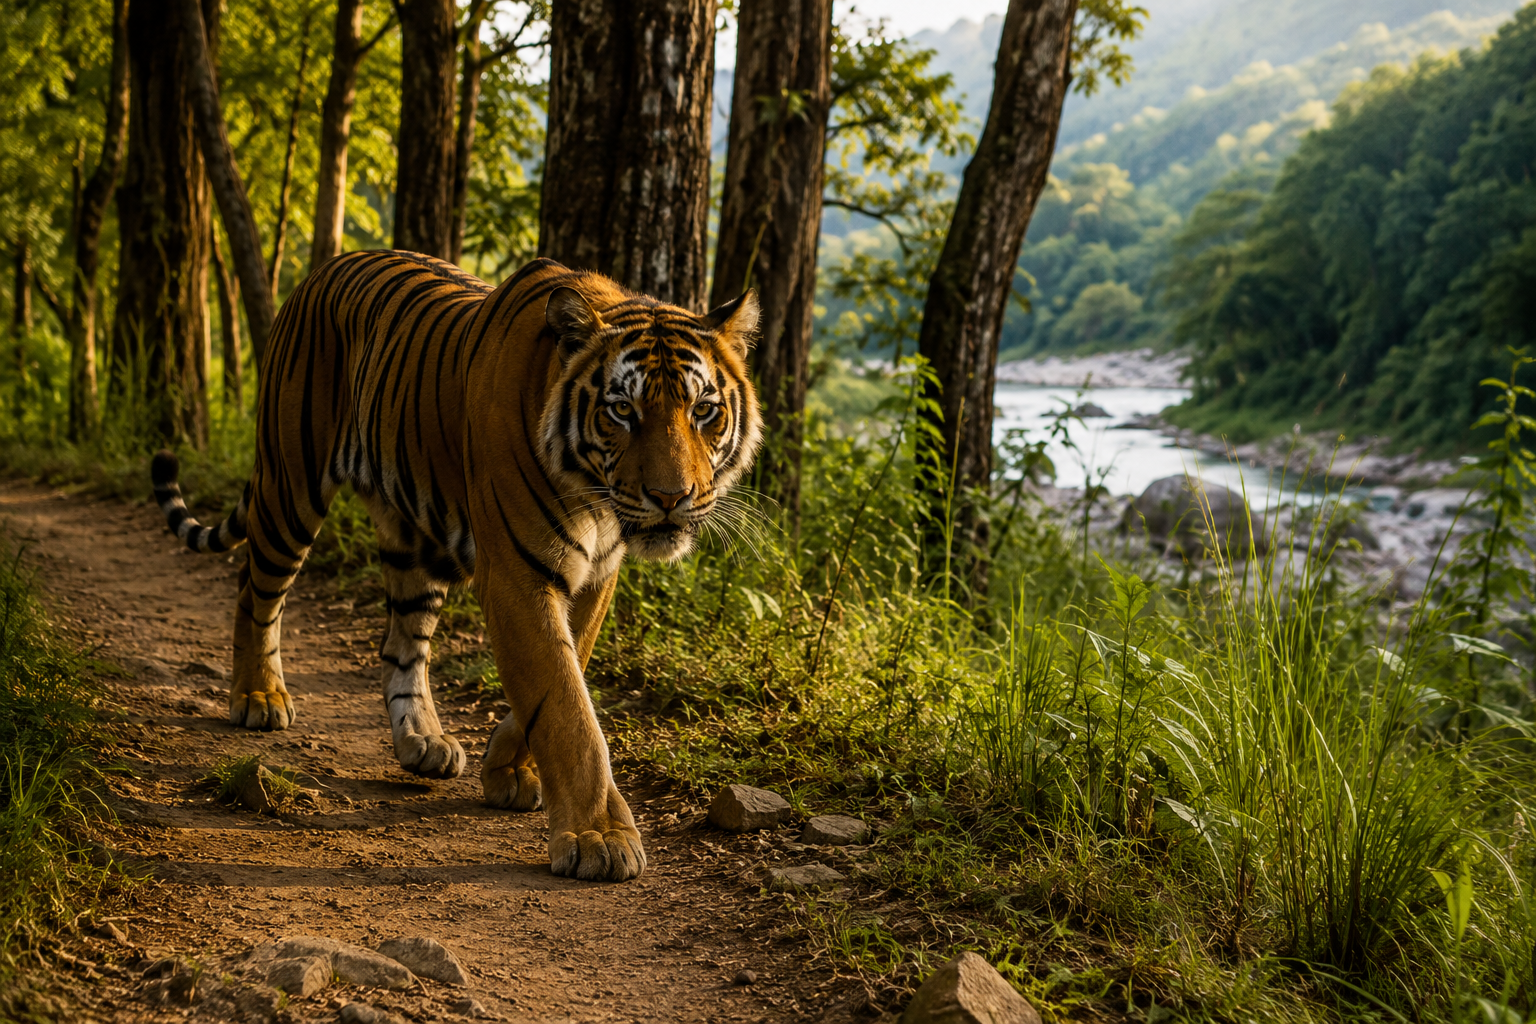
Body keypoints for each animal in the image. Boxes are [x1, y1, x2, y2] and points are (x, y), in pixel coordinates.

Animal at [150, 251, 762, 882]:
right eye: (622, 410)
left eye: (704, 411)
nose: (671, 497)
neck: (592, 495)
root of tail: (326, 267)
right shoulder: (517, 575)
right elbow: (567, 706)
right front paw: (600, 836)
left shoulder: (595, 575)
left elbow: (565, 675)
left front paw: (508, 768)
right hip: (289, 487)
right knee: (255, 590)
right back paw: (258, 696)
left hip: (415, 540)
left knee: (402, 645)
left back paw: (422, 740)